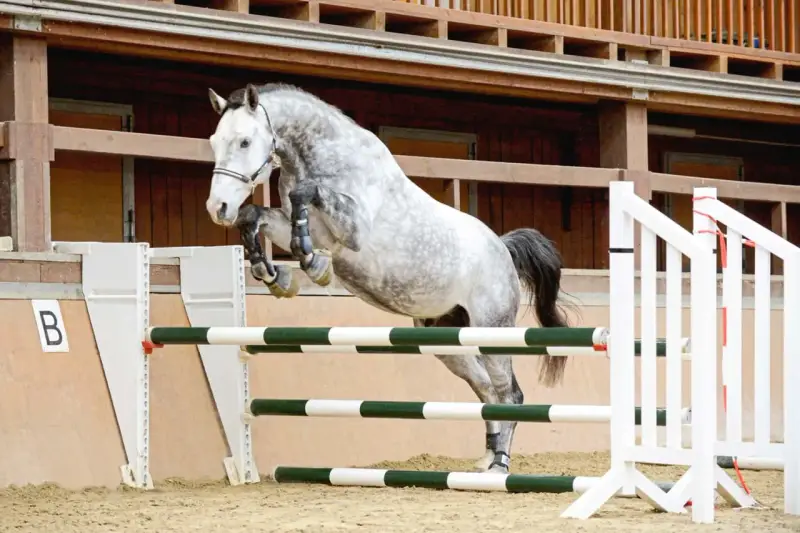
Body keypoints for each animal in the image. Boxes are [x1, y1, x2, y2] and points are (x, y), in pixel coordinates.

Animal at [204, 82, 572, 474]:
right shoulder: (293, 224)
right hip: (448, 340)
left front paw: (313, 265)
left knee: (509, 392)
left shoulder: (352, 231)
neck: (322, 157)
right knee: (487, 389)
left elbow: (304, 195)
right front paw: (273, 275)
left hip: (492, 329)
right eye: (214, 141)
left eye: (244, 141)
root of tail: (502, 249)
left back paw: (501, 464)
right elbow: (254, 216)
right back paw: (487, 456)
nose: (217, 208)